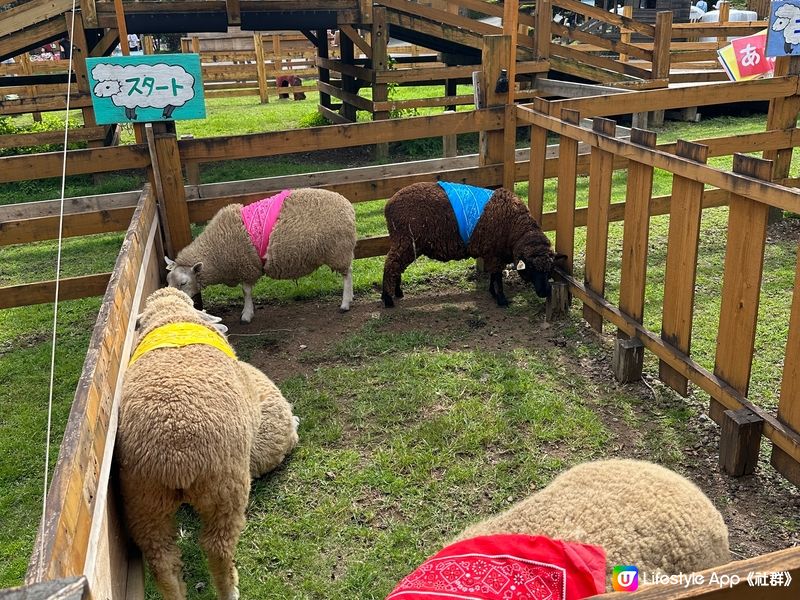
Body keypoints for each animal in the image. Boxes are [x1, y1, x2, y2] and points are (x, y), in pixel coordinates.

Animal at [120, 288, 302, 596]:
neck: (172, 316)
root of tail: (175, 458)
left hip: (144, 500)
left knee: (161, 558)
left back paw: (174, 592)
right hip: (224, 489)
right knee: (217, 547)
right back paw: (231, 590)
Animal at [166, 190, 356, 326]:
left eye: (183, 283)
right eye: (168, 281)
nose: (172, 300)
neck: (213, 249)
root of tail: (348, 206)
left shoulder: (246, 266)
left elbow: (246, 291)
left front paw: (247, 314)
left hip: (338, 250)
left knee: (347, 274)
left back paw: (345, 303)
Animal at [382, 180, 564, 308]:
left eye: (550, 269)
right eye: (531, 268)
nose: (545, 292)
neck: (515, 228)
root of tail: (388, 205)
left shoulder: (493, 253)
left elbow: (493, 275)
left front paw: (492, 293)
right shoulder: (495, 253)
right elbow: (498, 277)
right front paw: (502, 300)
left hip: (405, 242)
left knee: (395, 265)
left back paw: (397, 293)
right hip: (406, 239)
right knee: (391, 265)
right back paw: (387, 299)